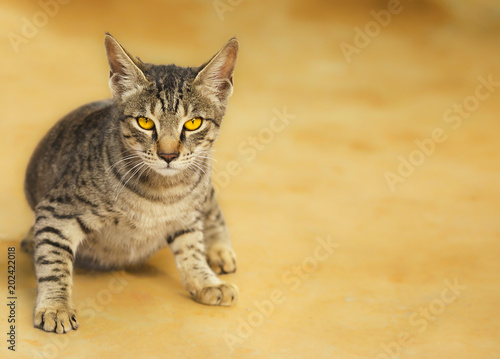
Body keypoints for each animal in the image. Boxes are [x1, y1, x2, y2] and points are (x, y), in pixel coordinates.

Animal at [23, 33, 240, 334]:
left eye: (194, 123)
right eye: (145, 122)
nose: (168, 155)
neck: (162, 191)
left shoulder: (187, 216)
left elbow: (191, 248)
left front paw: (205, 281)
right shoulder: (56, 211)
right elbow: (53, 262)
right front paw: (56, 307)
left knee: (213, 209)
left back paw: (219, 251)